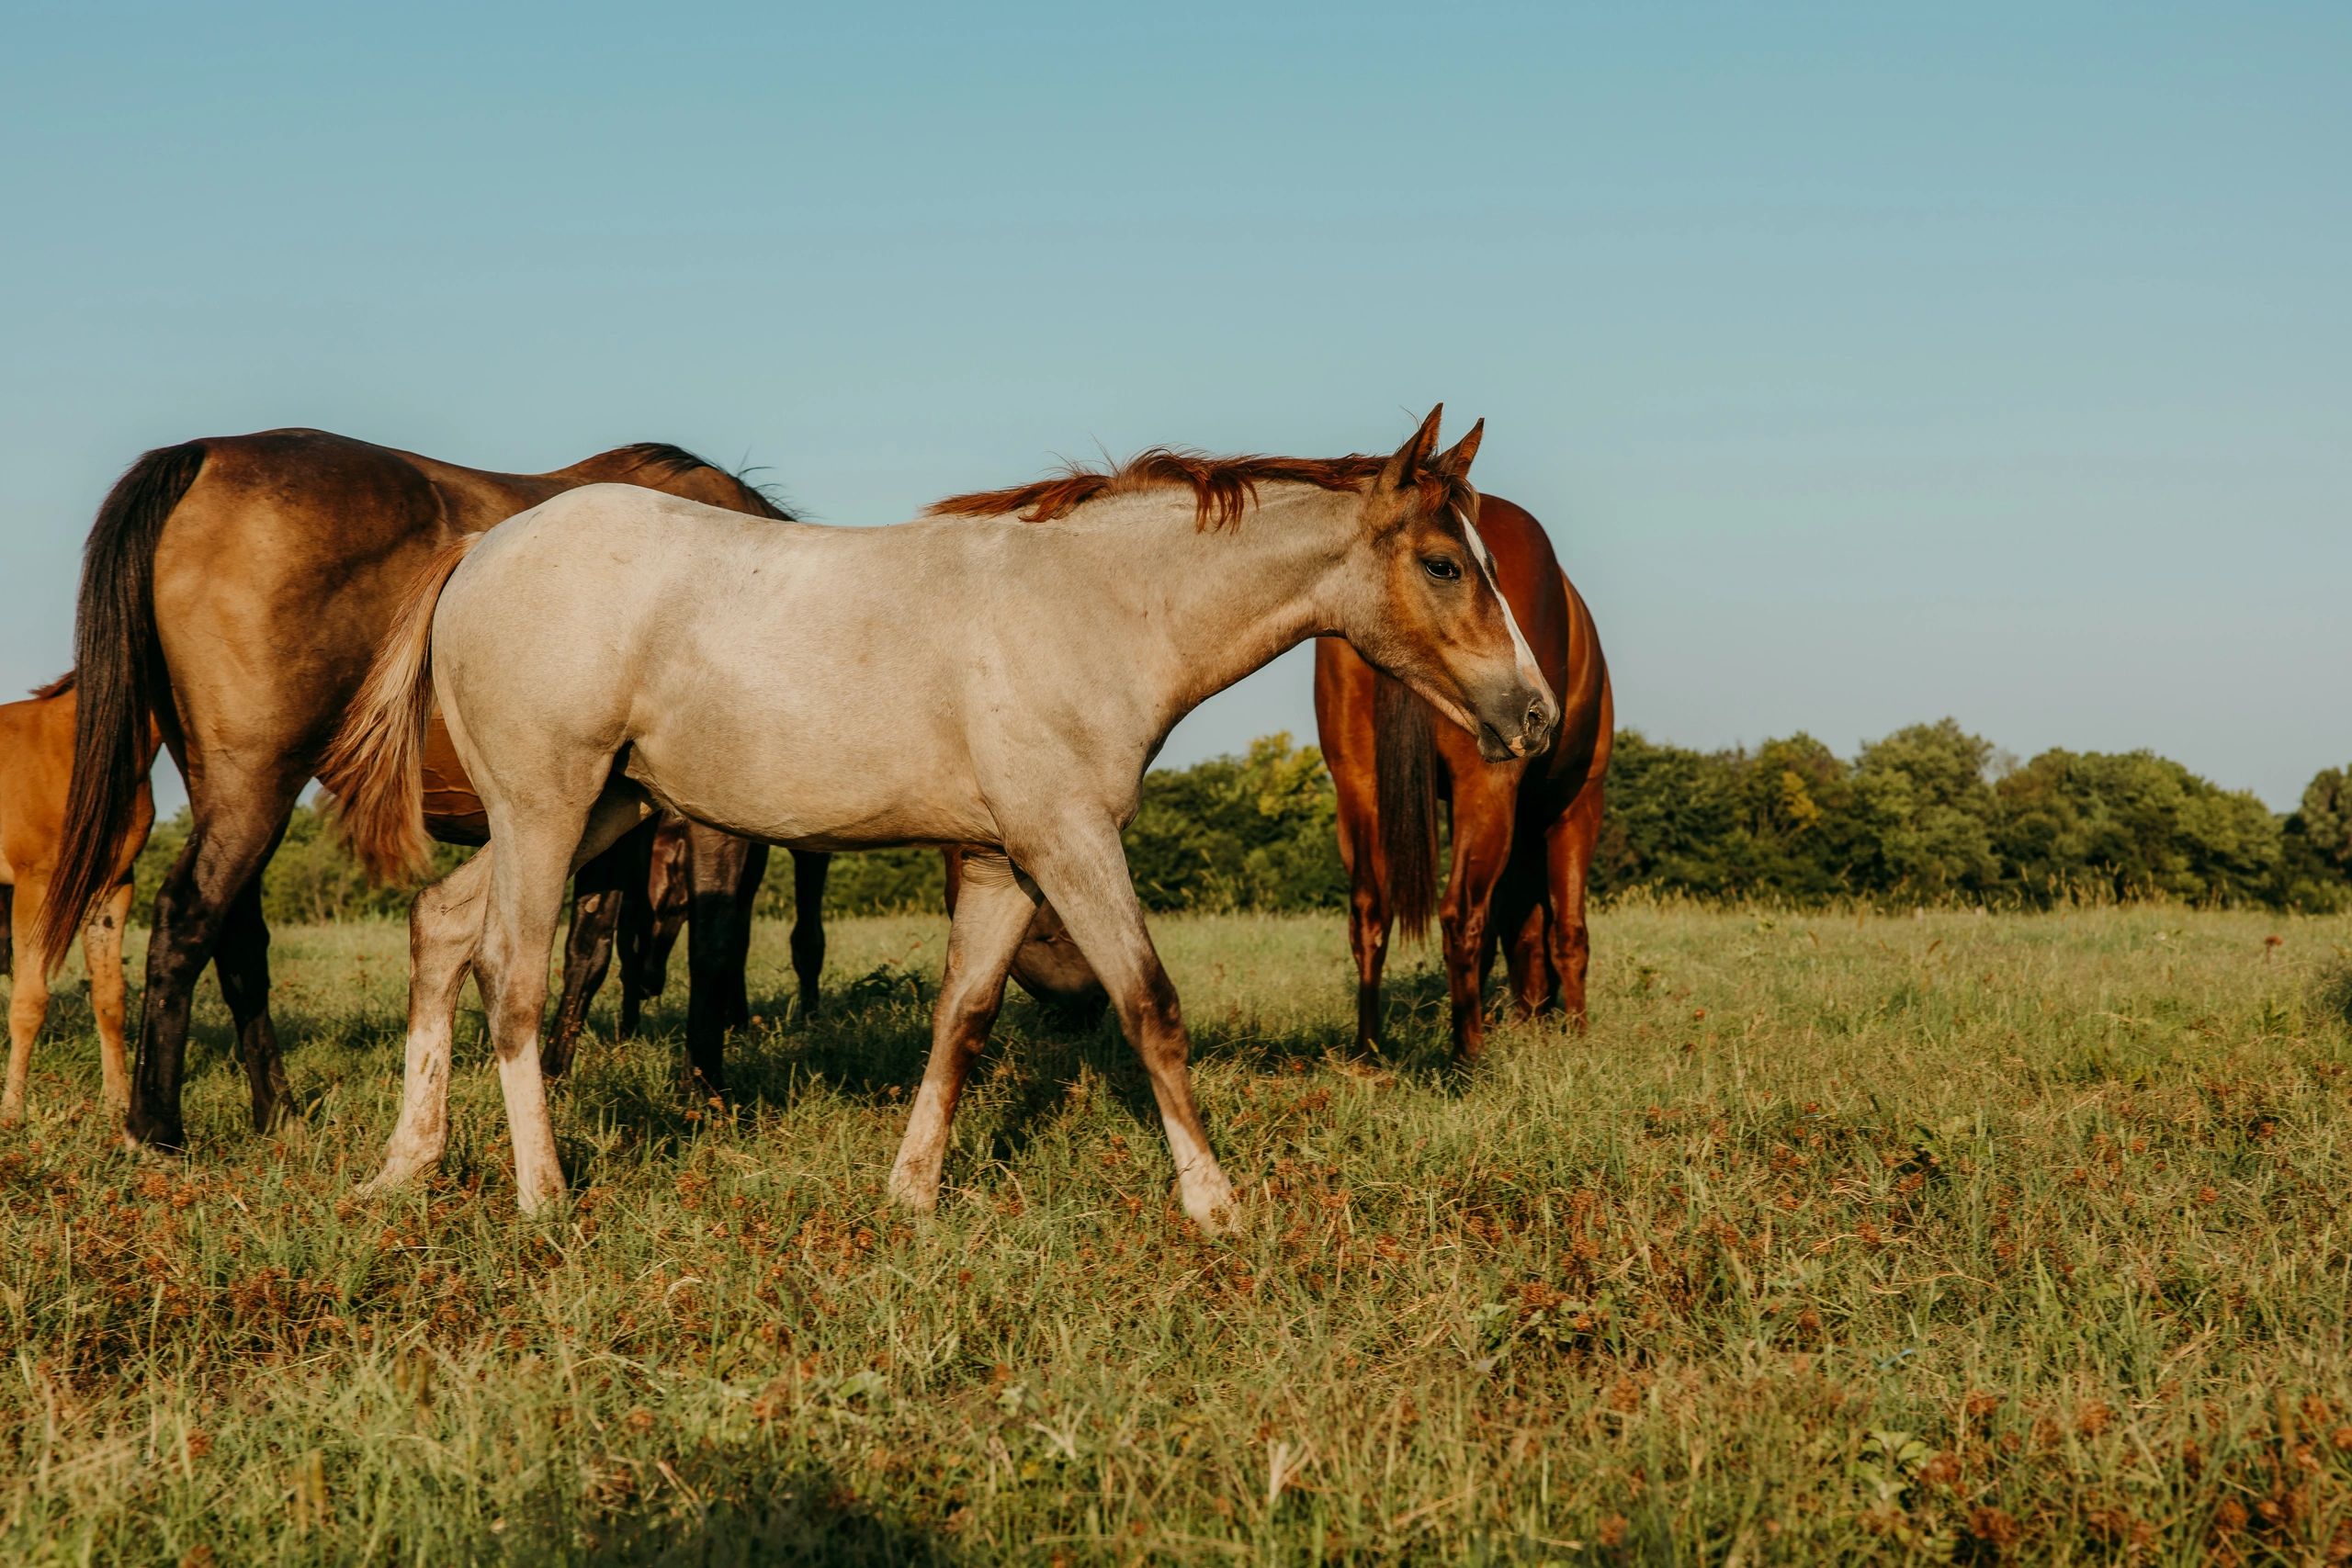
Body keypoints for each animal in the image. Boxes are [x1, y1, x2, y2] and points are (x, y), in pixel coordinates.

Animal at [0, 674, 155, 1124]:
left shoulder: (111, 887)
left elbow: (110, 997)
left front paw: (118, 1102)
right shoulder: (36, 883)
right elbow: (29, 1002)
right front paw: (11, 1111)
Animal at [37, 430, 825, 1153]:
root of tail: (204, 454)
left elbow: (589, 945)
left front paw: (559, 1072)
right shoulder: (701, 826)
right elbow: (714, 941)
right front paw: (707, 1095)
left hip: (228, 792)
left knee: (237, 941)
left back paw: (278, 1112)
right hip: (253, 787)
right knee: (186, 918)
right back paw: (156, 1127)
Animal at [323, 406, 1555, 1230]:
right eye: (1444, 564)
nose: (1534, 715)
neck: (1095, 608)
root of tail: (479, 552)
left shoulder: (1004, 861)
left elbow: (961, 1019)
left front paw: (911, 1192)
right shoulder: (1069, 840)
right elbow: (1150, 1005)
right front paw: (1214, 1203)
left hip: (596, 812)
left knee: (441, 930)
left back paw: (404, 1165)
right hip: (550, 811)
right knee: (514, 979)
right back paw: (542, 1194)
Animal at [1314, 495, 1612, 1060]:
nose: (1534, 1015)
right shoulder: (1576, 806)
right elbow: (1567, 931)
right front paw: (1582, 1036)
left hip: (1358, 787)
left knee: (1370, 910)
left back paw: (1368, 1050)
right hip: (1489, 787)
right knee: (1462, 915)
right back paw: (1466, 1056)